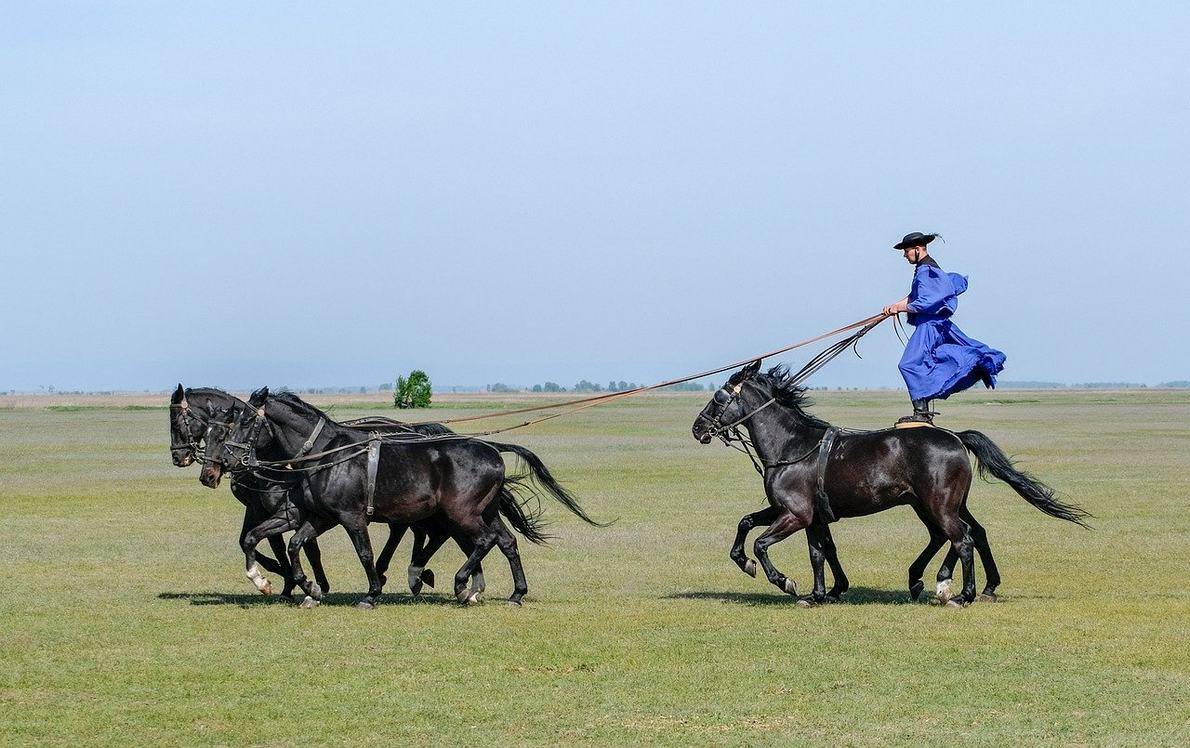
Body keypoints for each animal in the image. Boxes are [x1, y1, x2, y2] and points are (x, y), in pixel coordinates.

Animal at [204, 387, 604, 604]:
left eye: (242, 421)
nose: (223, 465)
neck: (326, 454)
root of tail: (491, 448)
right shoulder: (317, 516)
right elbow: (286, 543)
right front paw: (301, 588)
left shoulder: (350, 517)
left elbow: (364, 553)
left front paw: (370, 594)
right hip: (482, 511)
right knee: (504, 541)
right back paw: (514, 593)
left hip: (461, 514)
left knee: (483, 540)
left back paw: (461, 585)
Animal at [690, 359, 1090, 604]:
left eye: (719, 396)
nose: (697, 428)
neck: (793, 446)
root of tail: (954, 436)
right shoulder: (801, 514)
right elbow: (806, 546)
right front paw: (821, 592)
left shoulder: (796, 514)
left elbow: (763, 544)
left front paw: (784, 581)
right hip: (934, 504)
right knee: (963, 534)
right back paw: (939, 582)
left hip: (937, 504)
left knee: (961, 538)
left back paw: (959, 593)